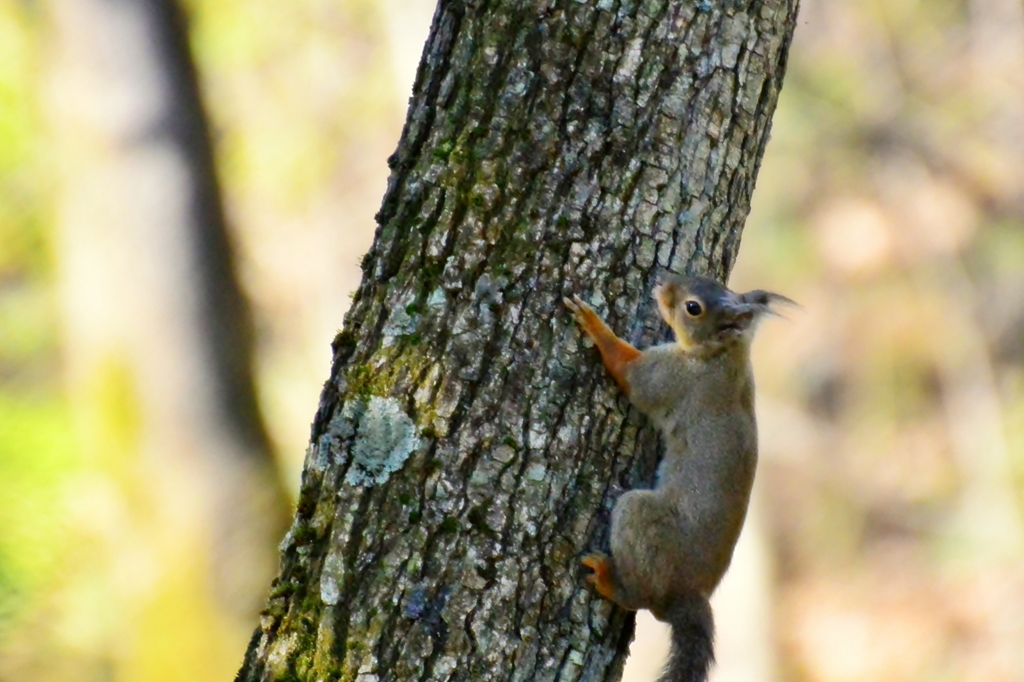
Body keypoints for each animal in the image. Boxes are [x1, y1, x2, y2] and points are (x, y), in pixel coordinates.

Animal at [561, 274, 790, 679]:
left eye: (693, 308)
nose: (663, 283)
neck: (721, 355)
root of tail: (688, 596)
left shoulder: (671, 378)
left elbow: (629, 370)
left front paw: (593, 323)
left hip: (641, 520)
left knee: (640, 597)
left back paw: (609, 580)